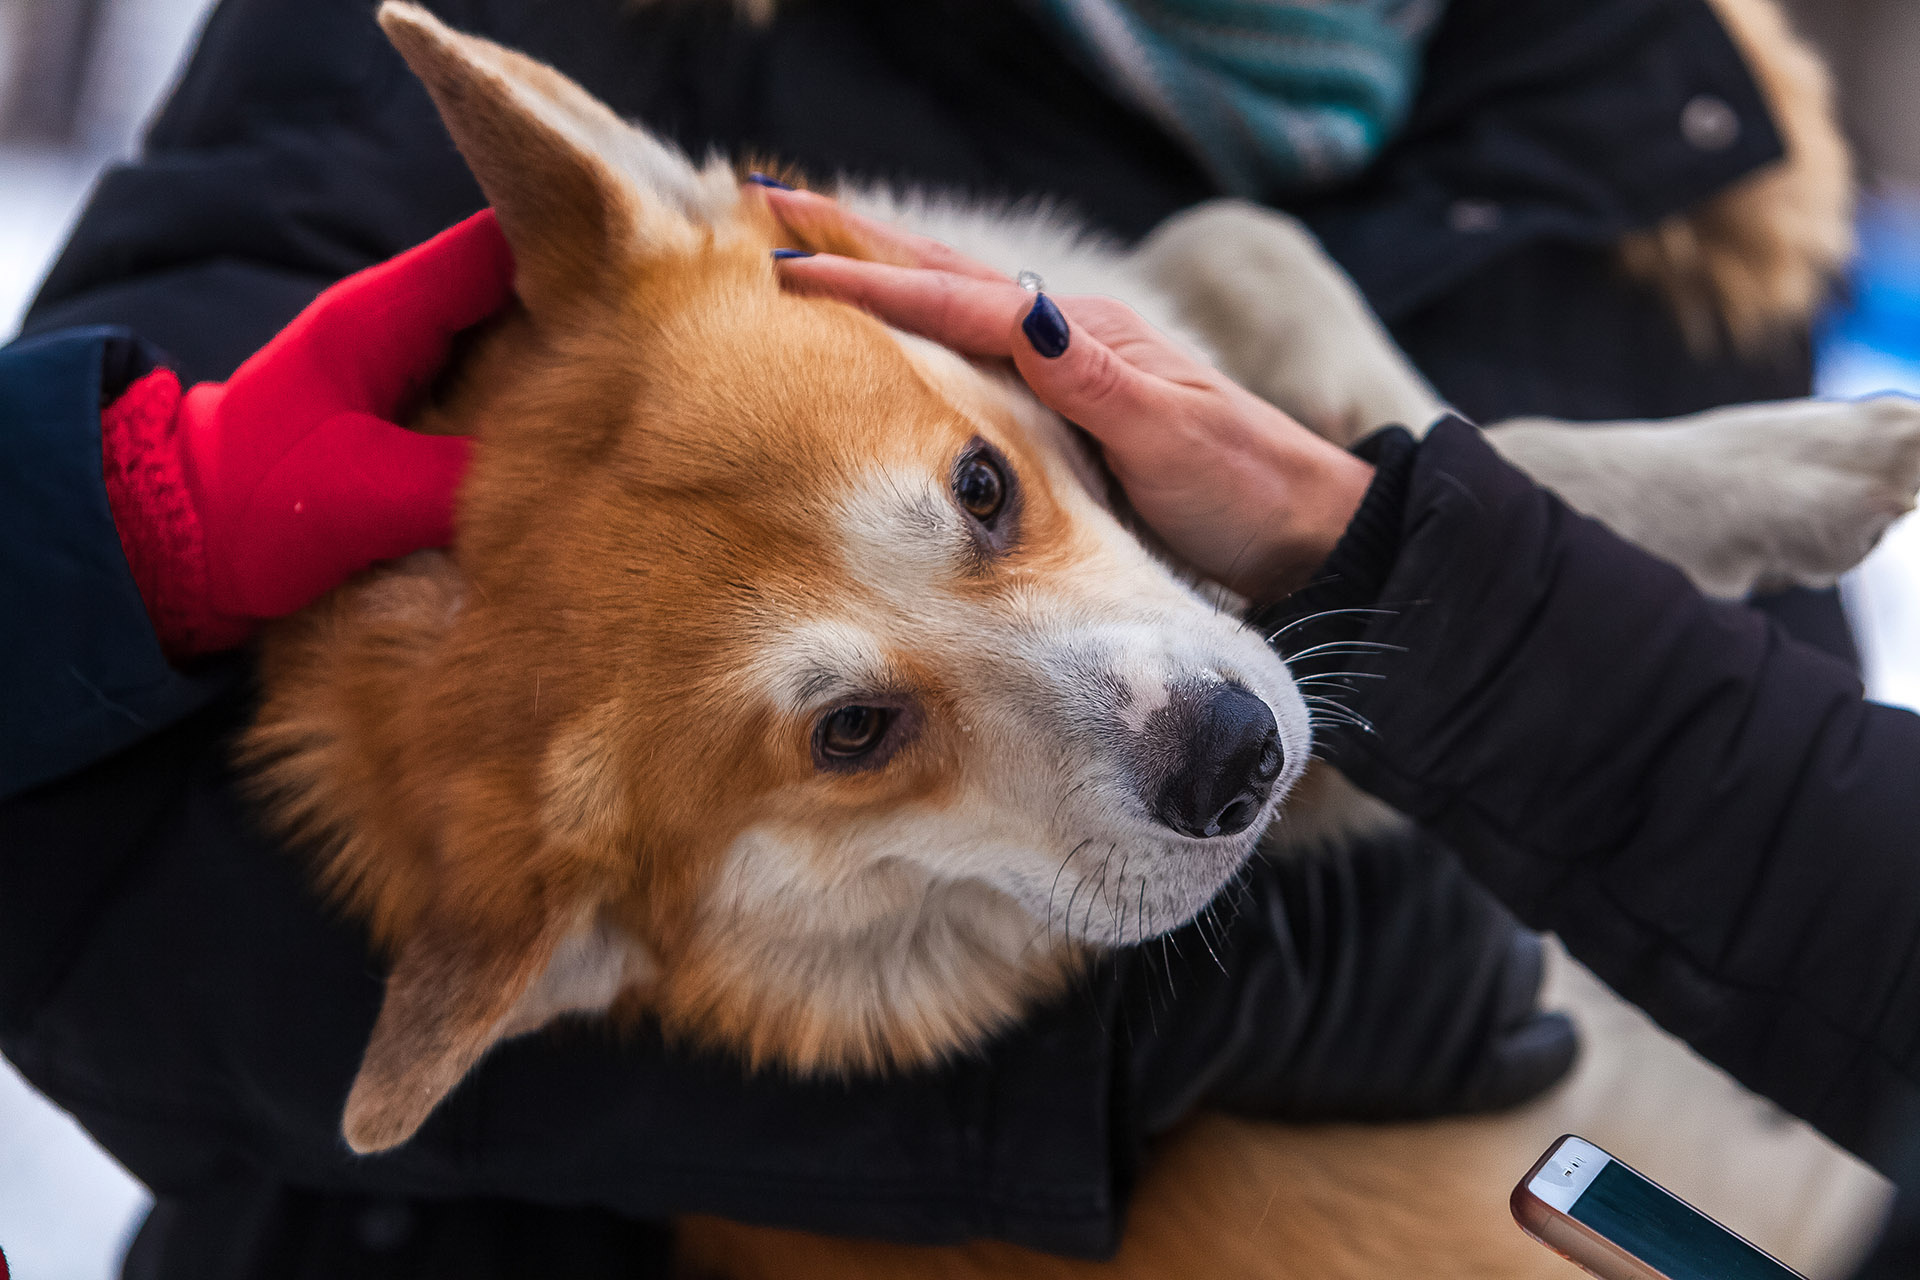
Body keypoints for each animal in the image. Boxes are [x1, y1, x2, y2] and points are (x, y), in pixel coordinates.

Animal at [247, 5, 1912, 1274]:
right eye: (851, 734)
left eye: (984, 487)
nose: (1236, 764)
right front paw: (1792, 473)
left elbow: (1237, 243)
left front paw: (1412, 410)